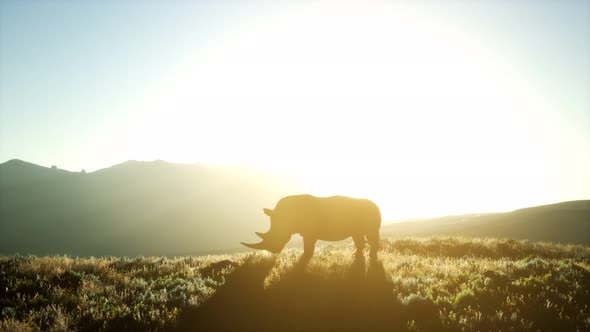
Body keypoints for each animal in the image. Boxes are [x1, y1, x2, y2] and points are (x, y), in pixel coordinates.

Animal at [242, 195, 384, 260]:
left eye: (276, 236)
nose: (273, 251)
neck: (284, 218)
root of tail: (376, 205)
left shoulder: (309, 232)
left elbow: (308, 246)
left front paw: (305, 258)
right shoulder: (305, 231)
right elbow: (308, 245)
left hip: (370, 213)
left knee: (371, 235)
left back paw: (372, 257)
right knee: (357, 235)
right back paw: (356, 256)